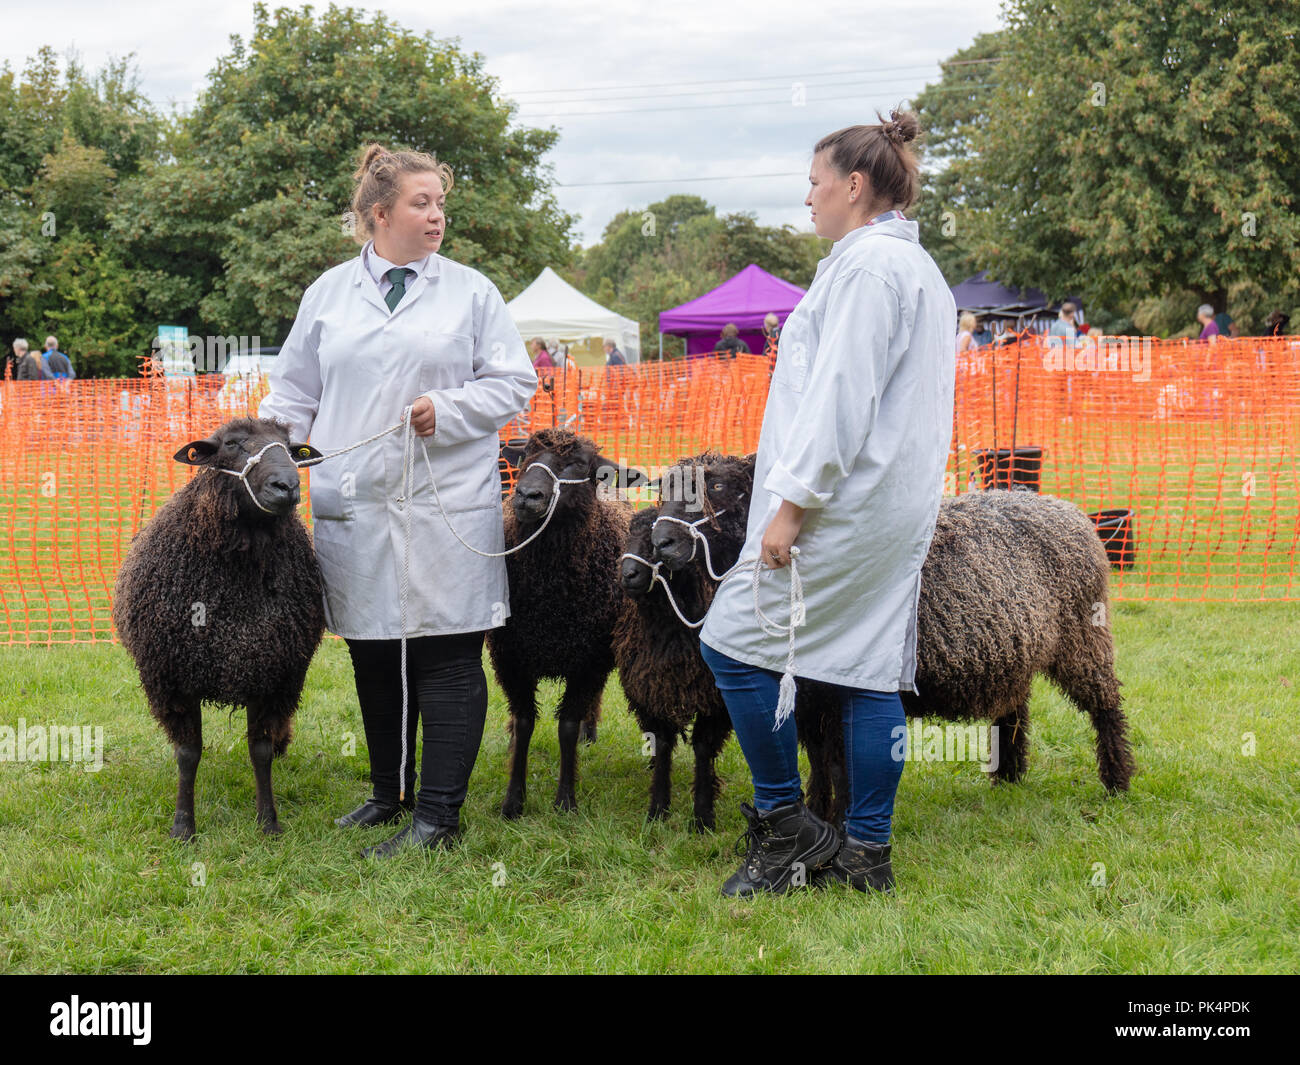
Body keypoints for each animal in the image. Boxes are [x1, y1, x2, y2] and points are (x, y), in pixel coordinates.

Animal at [113, 416, 325, 842]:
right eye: (232, 444)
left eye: (290, 448)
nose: (287, 486)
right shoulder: (173, 679)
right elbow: (188, 754)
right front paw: (183, 826)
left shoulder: (272, 674)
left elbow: (260, 751)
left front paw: (268, 821)